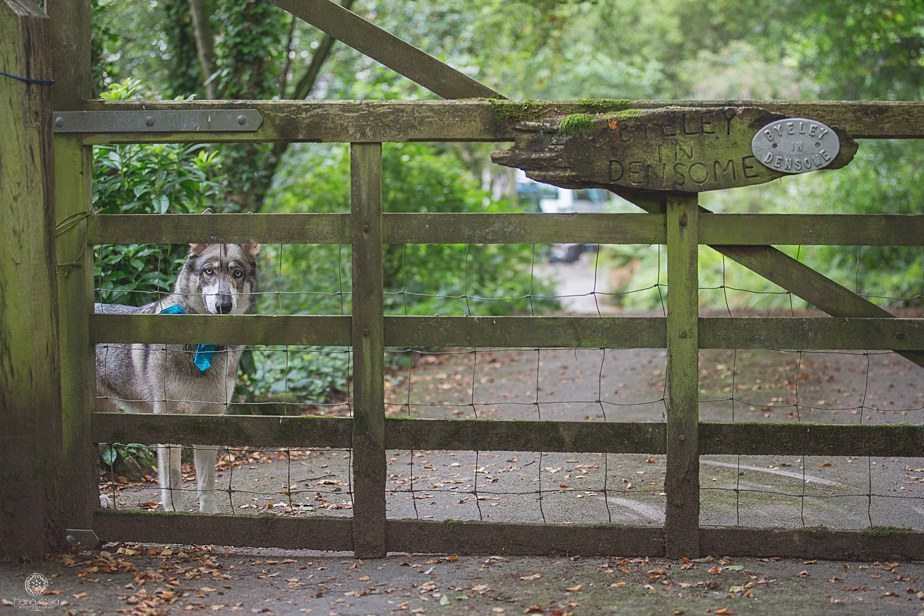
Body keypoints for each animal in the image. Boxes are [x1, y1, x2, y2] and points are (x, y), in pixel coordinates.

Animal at [96, 241, 260, 516]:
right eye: (209, 271)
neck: (204, 349)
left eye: (237, 273)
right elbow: (172, 479)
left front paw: (209, 514)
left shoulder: (211, 418)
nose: (223, 305)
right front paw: (174, 512)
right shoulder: (168, 421)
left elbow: (207, 481)